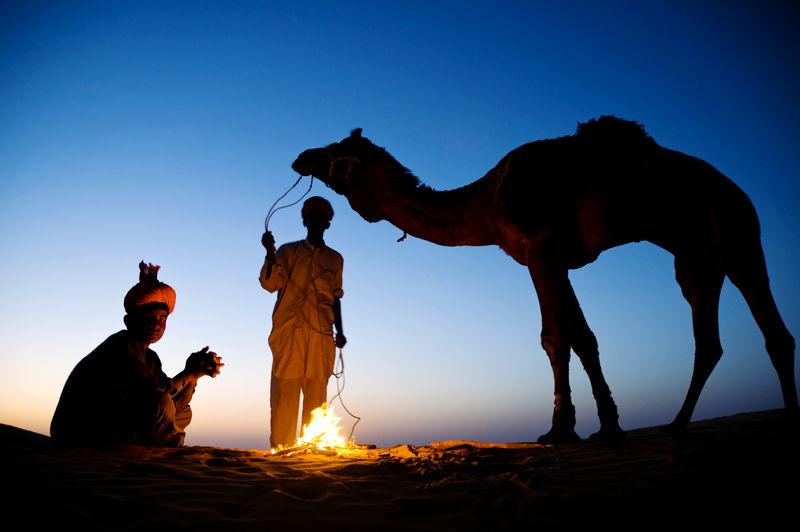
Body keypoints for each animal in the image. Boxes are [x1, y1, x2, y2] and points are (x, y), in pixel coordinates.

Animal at [290, 118, 796, 442]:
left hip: (736, 233)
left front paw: (559, 429)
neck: (486, 202)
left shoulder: (539, 248)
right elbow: (584, 337)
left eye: (335, 150)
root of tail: (737, 189)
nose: (300, 157)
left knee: (772, 330)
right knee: (711, 340)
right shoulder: (558, 260)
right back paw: (676, 425)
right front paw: (607, 425)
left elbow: (554, 337)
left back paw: (784, 419)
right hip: (694, 261)